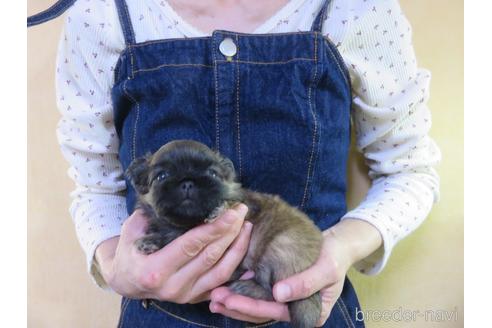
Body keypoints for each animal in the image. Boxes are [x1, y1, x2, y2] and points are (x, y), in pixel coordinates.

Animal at [126, 140, 322, 326]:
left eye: (212, 174)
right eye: (161, 176)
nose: (188, 182)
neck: (189, 223)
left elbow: (175, 234)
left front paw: (152, 241)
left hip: (276, 250)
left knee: (273, 293)